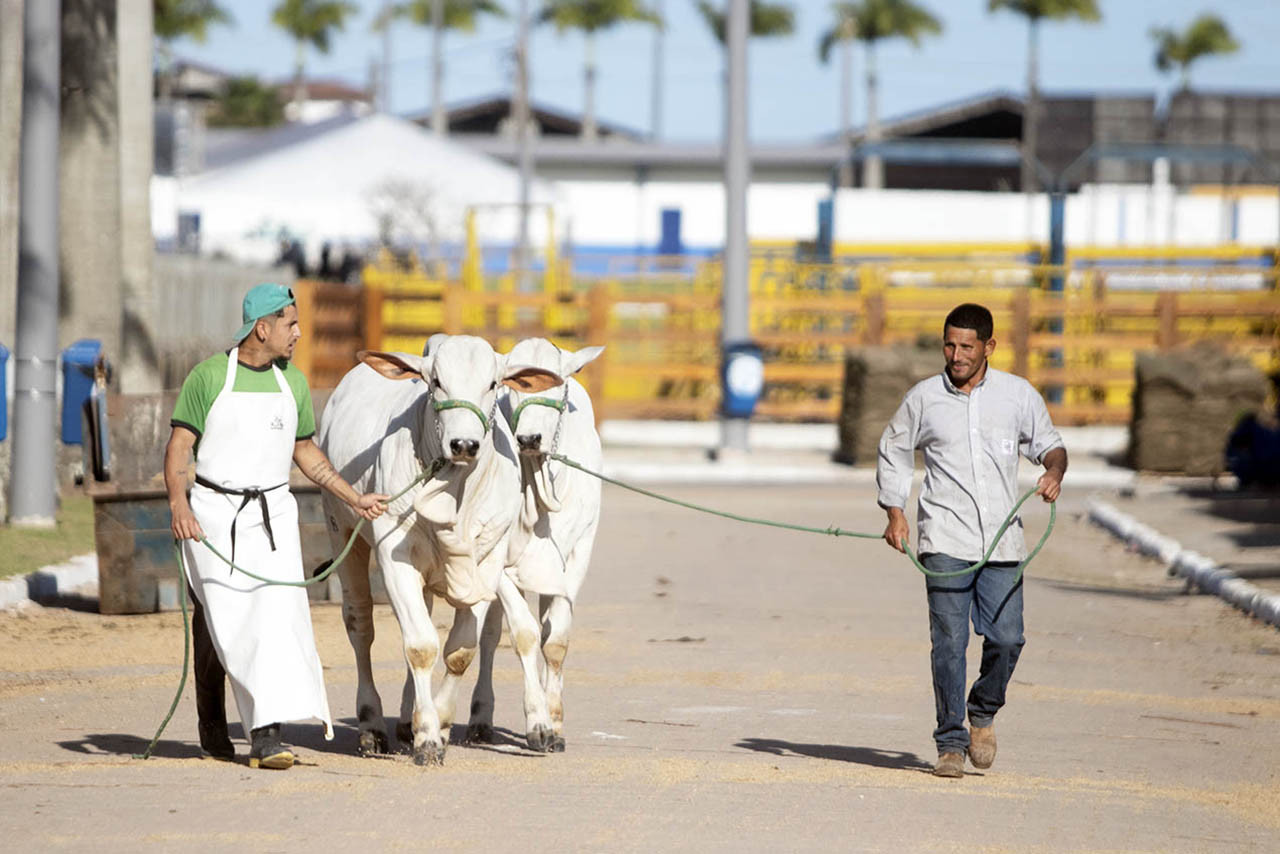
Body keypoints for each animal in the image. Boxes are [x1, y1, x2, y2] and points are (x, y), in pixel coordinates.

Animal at [317, 338, 563, 763]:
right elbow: (420, 646)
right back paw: (372, 726)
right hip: (342, 531)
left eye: (493, 383)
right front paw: (429, 737)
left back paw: (407, 718)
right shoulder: (395, 558)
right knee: (361, 627)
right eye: (435, 381)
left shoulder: (485, 565)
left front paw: (440, 720)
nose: (464, 444)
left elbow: (460, 650)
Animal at [465, 338, 604, 752]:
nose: (528, 439)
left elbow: (555, 639)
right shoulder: (499, 557)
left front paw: (555, 724)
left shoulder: (577, 553)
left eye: (558, 385)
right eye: (511, 387)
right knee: (491, 635)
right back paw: (479, 717)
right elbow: (523, 634)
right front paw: (538, 724)